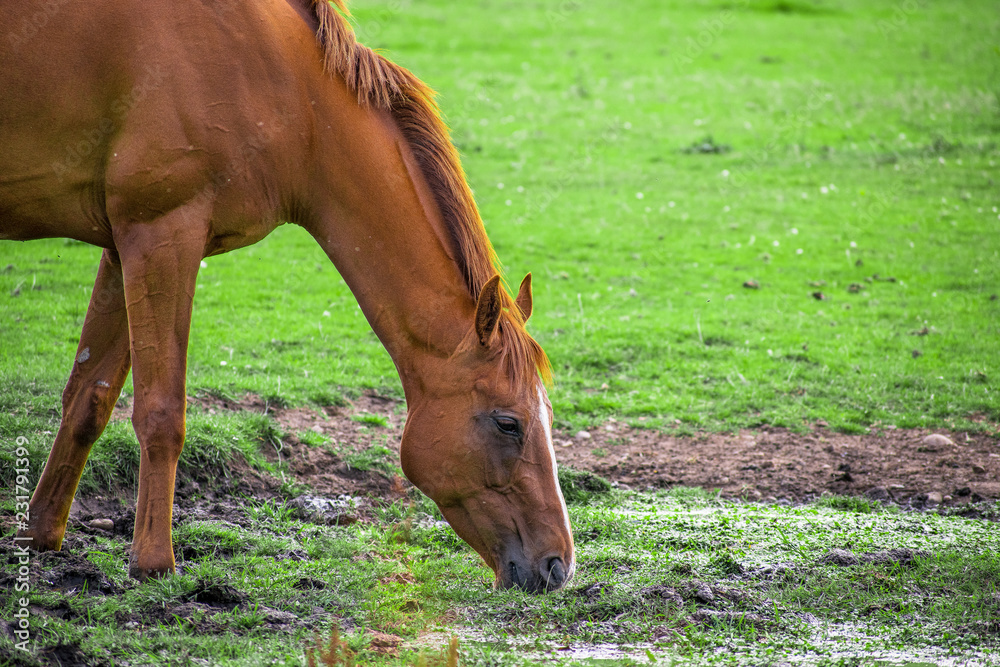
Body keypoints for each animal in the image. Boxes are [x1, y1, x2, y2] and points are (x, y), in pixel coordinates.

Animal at [0, 0, 573, 592]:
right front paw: (154, 562)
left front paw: (38, 535)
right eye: (508, 423)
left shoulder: (122, 246)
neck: (287, 91)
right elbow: (161, 411)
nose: (559, 566)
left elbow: (88, 397)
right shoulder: (161, 233)